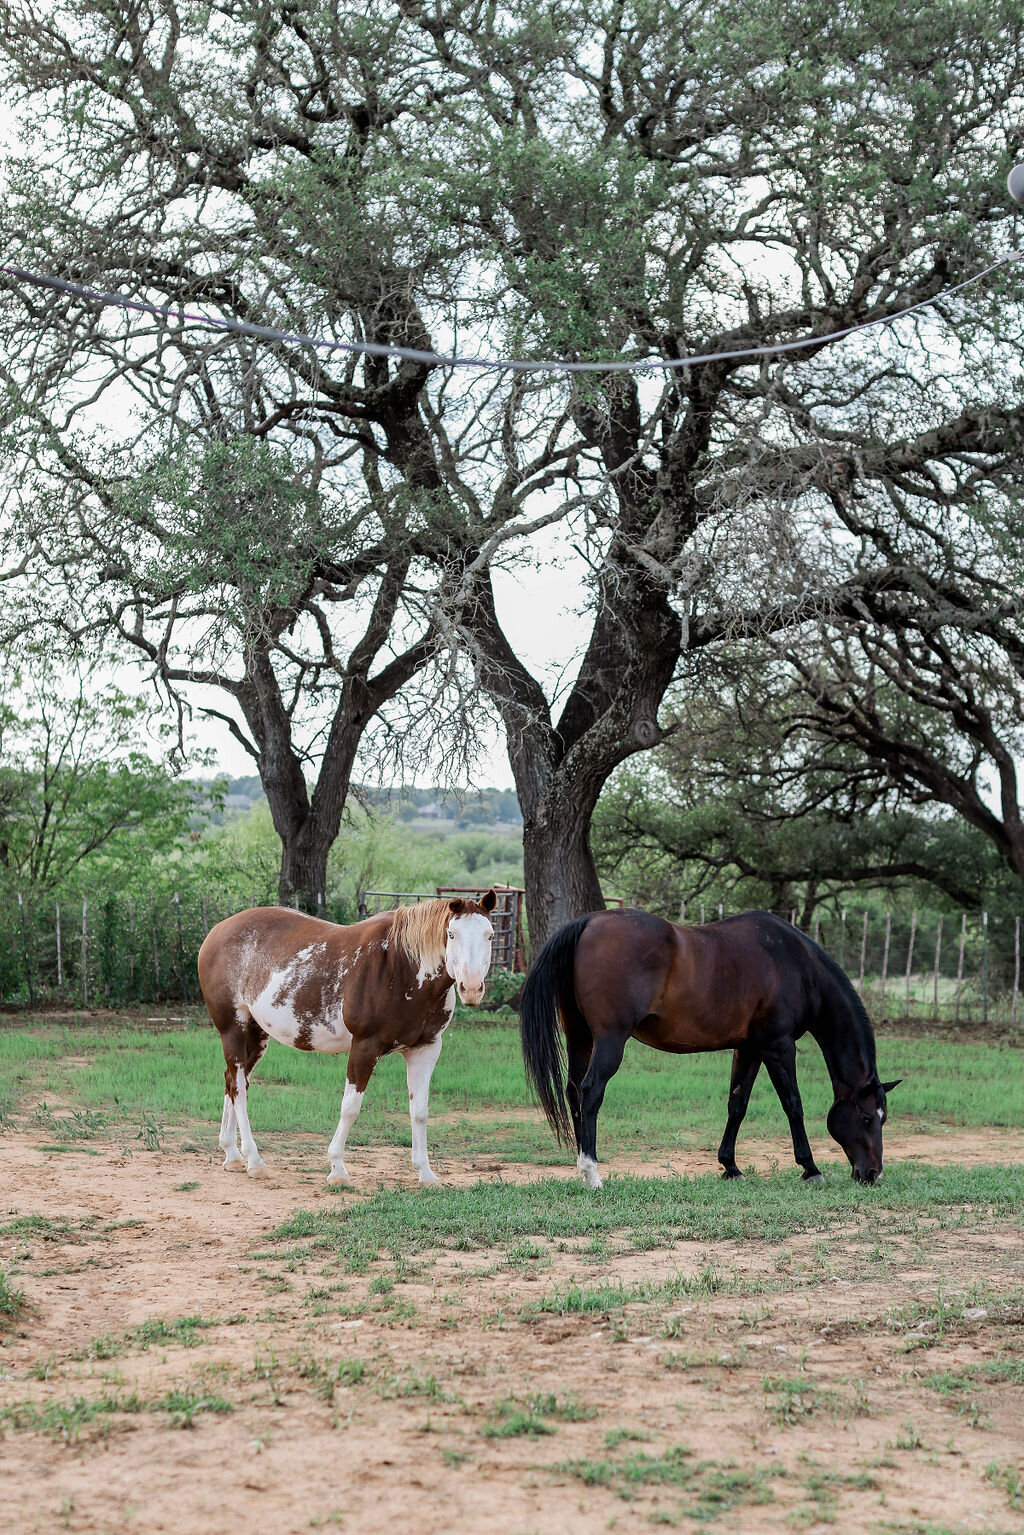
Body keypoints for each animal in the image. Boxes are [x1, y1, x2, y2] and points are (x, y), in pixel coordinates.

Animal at [199, 890, 497, 1185]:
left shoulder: (425, 1049)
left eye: (490, 935)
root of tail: (218, 931)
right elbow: (350, 1107)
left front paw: (426, 1173)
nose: (471, 988)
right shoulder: (365, 1047)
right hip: (232, 1029)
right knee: (239, 1088)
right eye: (451, 934)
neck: (400, 967)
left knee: (232, 1082)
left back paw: (232, 1154)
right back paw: (254, 1160)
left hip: (256, 1034)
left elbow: (420, 1112)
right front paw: (338, 1169)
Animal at [525, 908, 902, 1185]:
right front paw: (810, 1168)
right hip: (609, 1041)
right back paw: (592, 1173)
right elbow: (793, 1105)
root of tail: (589, 922)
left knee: (574, 1092)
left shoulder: (749, 1049)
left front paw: (730, 1167)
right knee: (590, 1092)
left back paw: (581, 1163)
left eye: (883, 1120)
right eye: (866, 1117)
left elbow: (738, 1104)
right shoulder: (778, 1048)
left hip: (580, 1038)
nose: (872, 1173)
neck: (795, 964)